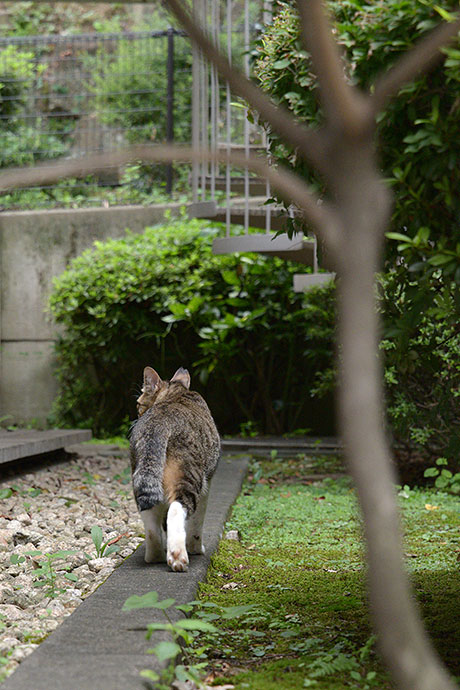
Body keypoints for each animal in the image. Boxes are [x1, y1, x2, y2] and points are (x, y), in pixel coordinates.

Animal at [129, 366, 221, 568]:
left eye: (138, 404)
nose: (137, 414)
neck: (177, 392)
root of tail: (158, 422)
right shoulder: (207, 484)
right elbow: (197, 524)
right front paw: (196, 549)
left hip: (141, 476)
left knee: (151, 523)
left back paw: (155, 555)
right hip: (189, 477)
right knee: (176, 511)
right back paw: (178, 556)